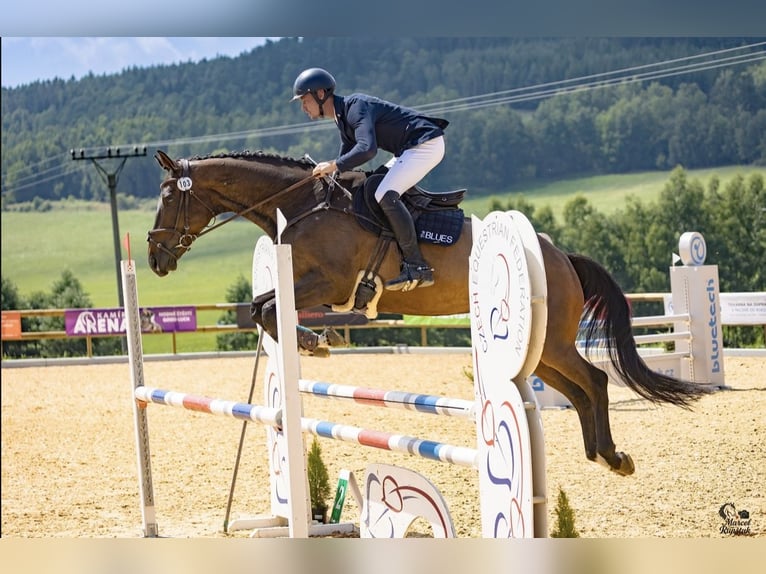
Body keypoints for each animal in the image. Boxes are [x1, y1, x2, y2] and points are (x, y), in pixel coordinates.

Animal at [148, 149, 710, 477]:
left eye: (166, 198)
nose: (155, 258)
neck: (305, 204)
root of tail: (559, 255)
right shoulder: (308, 287)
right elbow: (261, 308)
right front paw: (313, 341)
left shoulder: (329, 284)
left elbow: (265, 310)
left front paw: (314, 342)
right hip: (542, 350)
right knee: (576, 389)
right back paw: (598, 452)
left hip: (550, 341)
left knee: (594, 380)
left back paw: (614, 456)